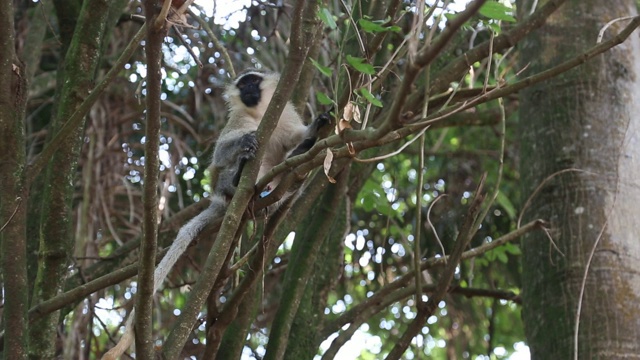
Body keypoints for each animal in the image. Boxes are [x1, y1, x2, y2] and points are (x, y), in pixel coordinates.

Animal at [101, 69, 330, 358]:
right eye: (243, 85)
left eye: (254, 82)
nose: (249, 91)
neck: (260, 114)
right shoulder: (238, 121)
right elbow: (222, 154)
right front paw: (244, 143)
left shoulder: (285, 115)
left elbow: (295, 136)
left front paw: (316, 127)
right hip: (224, 186)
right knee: (237, 163)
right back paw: (238, 180)